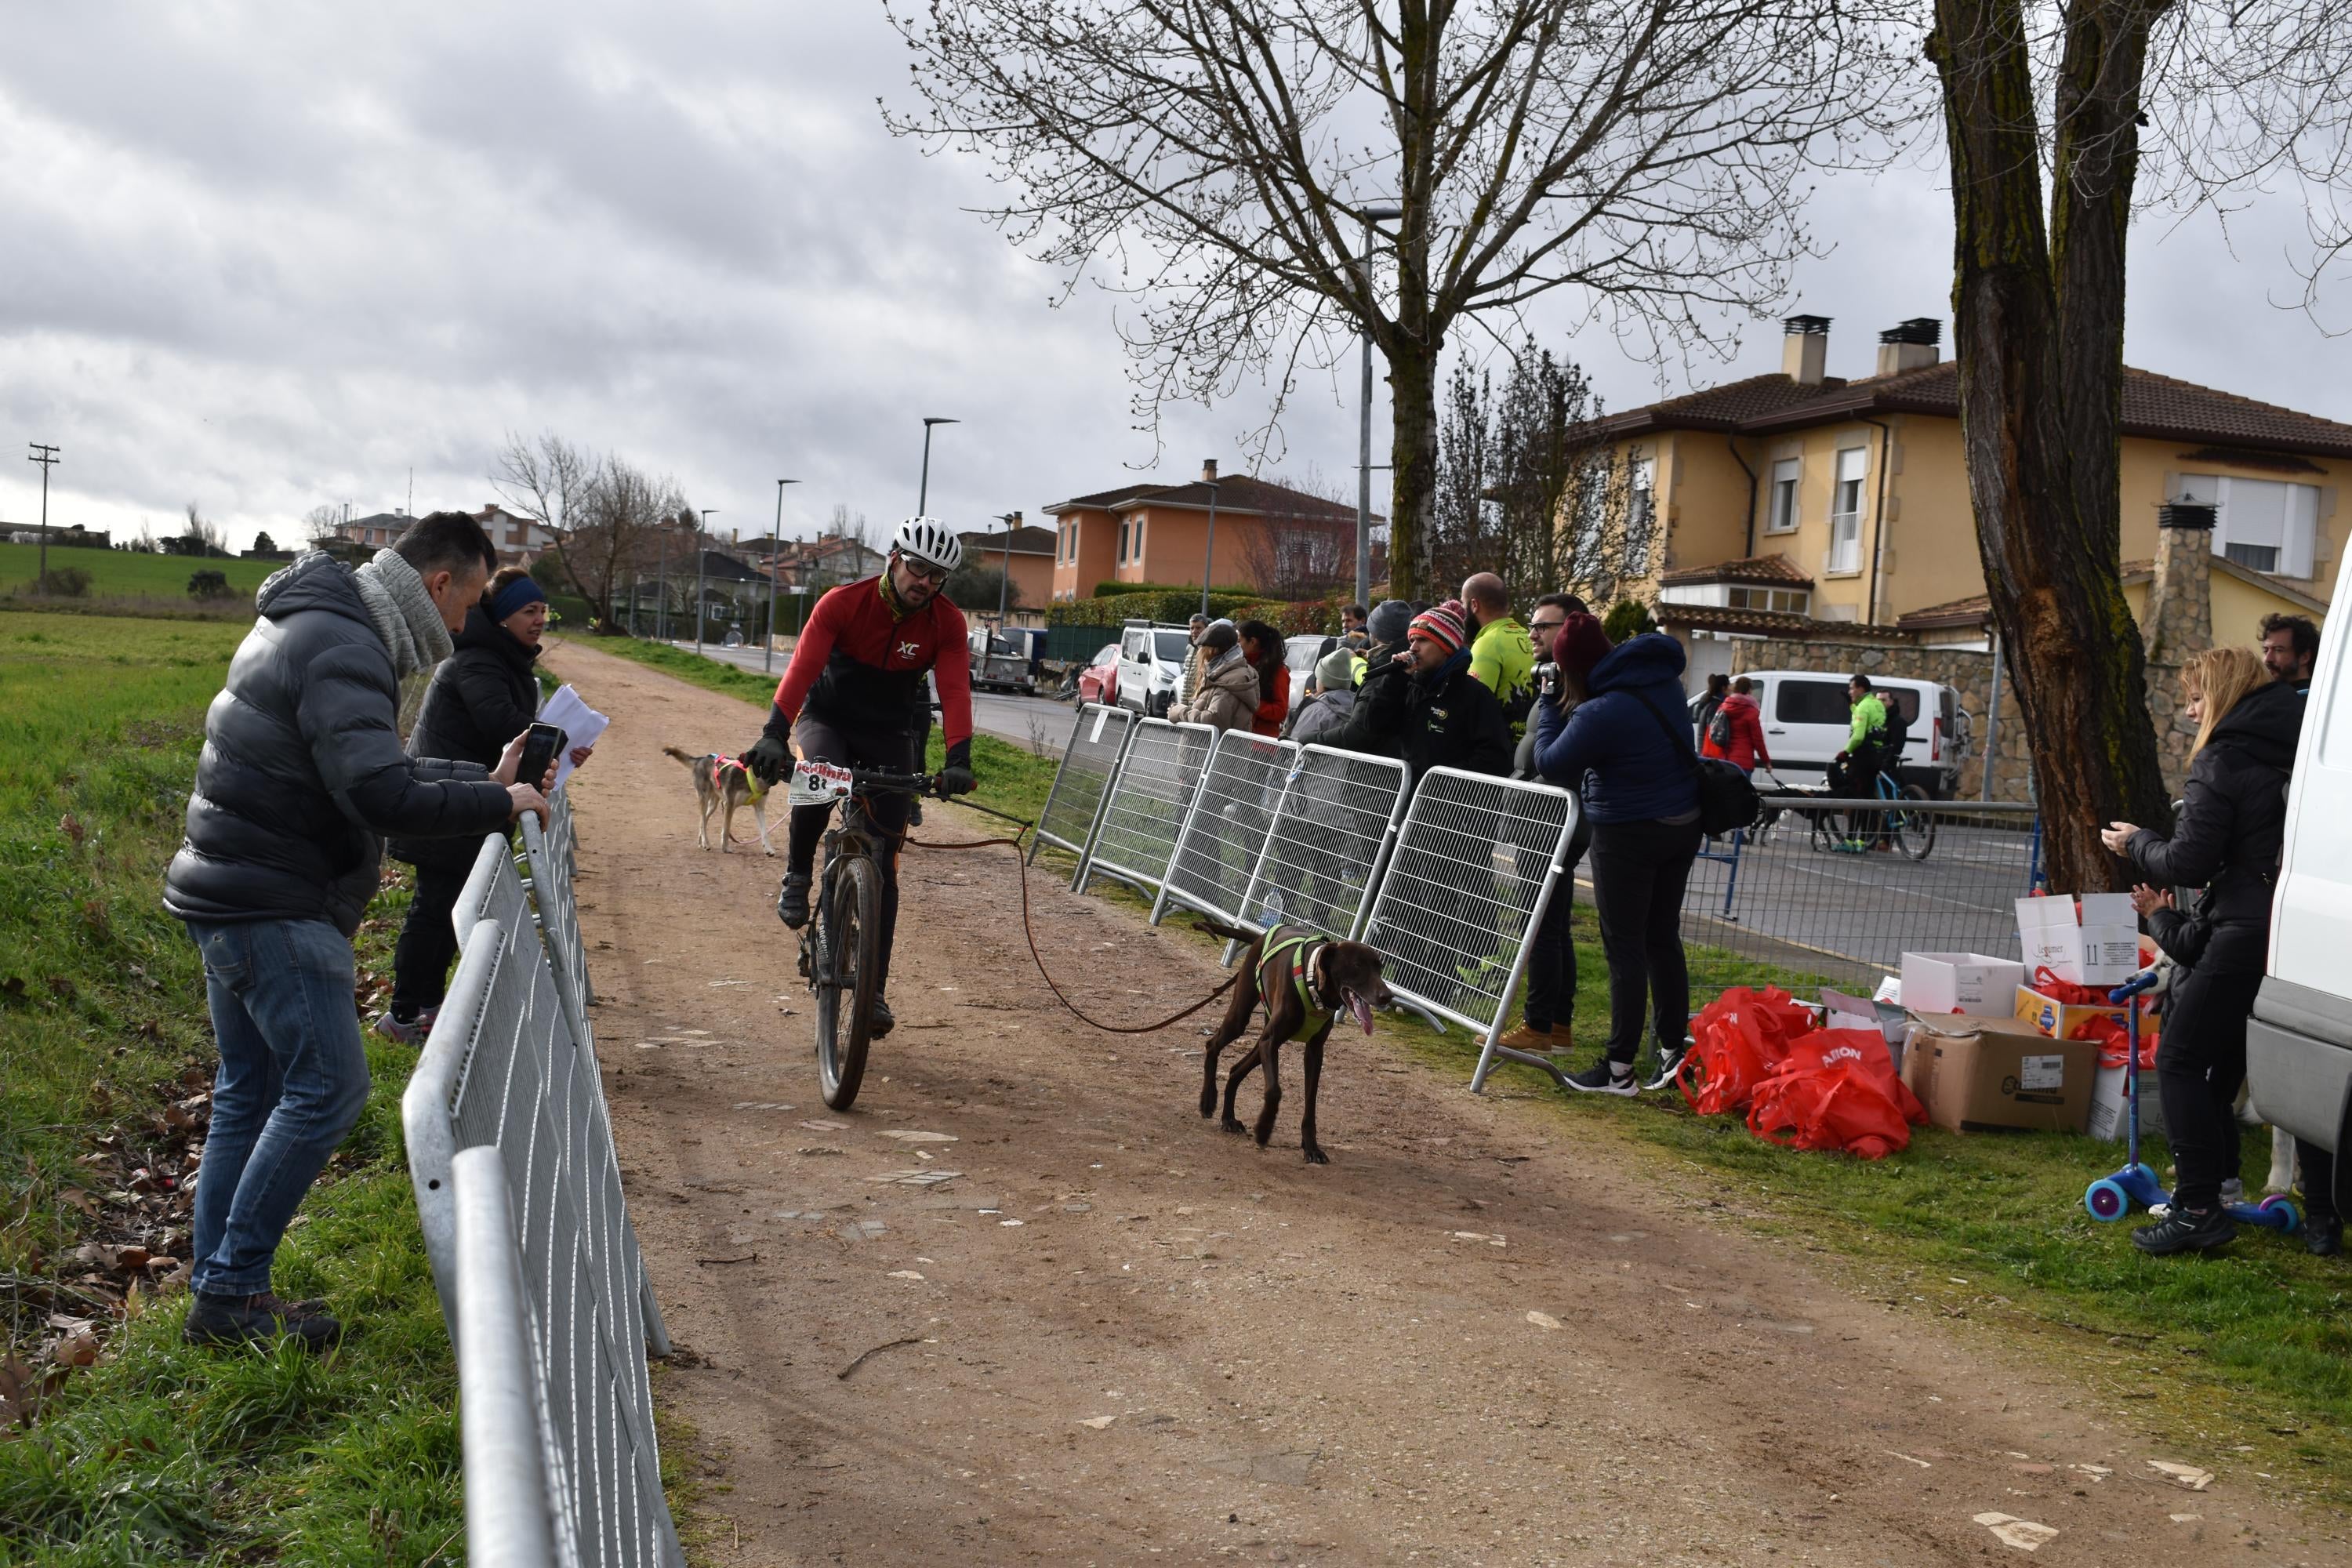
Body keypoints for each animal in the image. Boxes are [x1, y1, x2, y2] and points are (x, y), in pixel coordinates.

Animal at [1204, 921, 1383, 1166]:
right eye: (1357, 965)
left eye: (1380, 968)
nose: (1388, 996)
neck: (1313, 983)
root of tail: (1260, 937)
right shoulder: (1271, 1042)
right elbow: (1274, 1091)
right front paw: (1264, 1129)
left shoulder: (1314, 1052)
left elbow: (1311, 1104)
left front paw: (1311, 1147)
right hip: (1241, 1020)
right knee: (1213, 1045)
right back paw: (1207, 1100)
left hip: (1263, 1044)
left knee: (1235, 1070)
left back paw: (1229, 1118)